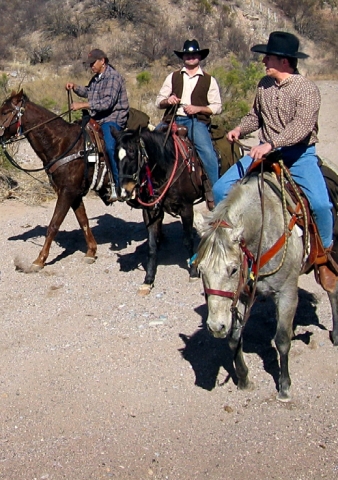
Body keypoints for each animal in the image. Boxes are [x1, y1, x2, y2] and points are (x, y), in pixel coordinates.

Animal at [0, 90, 113, 270]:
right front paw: (91, 251)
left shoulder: (67, 192)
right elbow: (83, 221)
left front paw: (40, 260)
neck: (63, 144)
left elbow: (53, 225)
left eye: (4, 112)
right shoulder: (74, 193)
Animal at [195, 170, 338, 402]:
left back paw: (335, 335)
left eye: (233, 269)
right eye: (200, 269)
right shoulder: (241, 295)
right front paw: (244, 379)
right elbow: (235, 338)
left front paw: (284, 386)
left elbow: (282, 340)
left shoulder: (287, 293)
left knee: (332, 290)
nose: (216, 327)